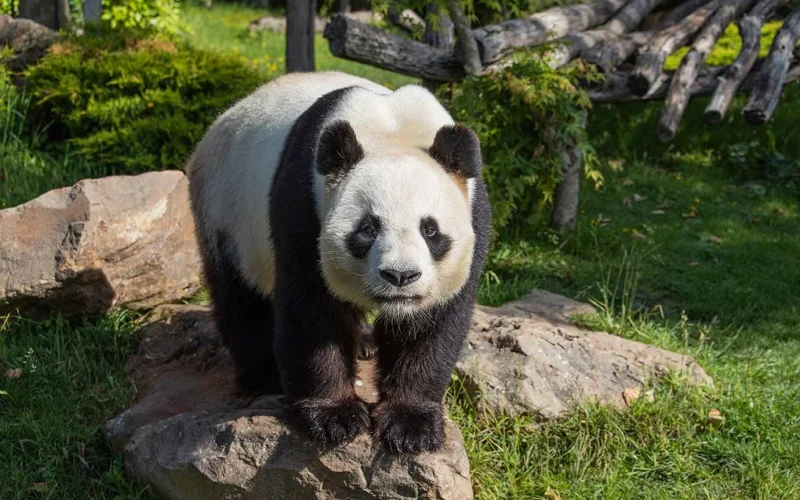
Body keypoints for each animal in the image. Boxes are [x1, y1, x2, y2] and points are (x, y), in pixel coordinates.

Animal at [185, 70, 490, 454]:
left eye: (430, 229)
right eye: (368, 229)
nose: (400, 276)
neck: (392, 133)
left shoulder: (472, 213)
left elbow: (432, 325)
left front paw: (411, 426)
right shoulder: (304, 205)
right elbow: (312, 311)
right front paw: (334, 418)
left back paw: (363, 344)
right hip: (226, 211)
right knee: (240, 298)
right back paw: (263, 376)